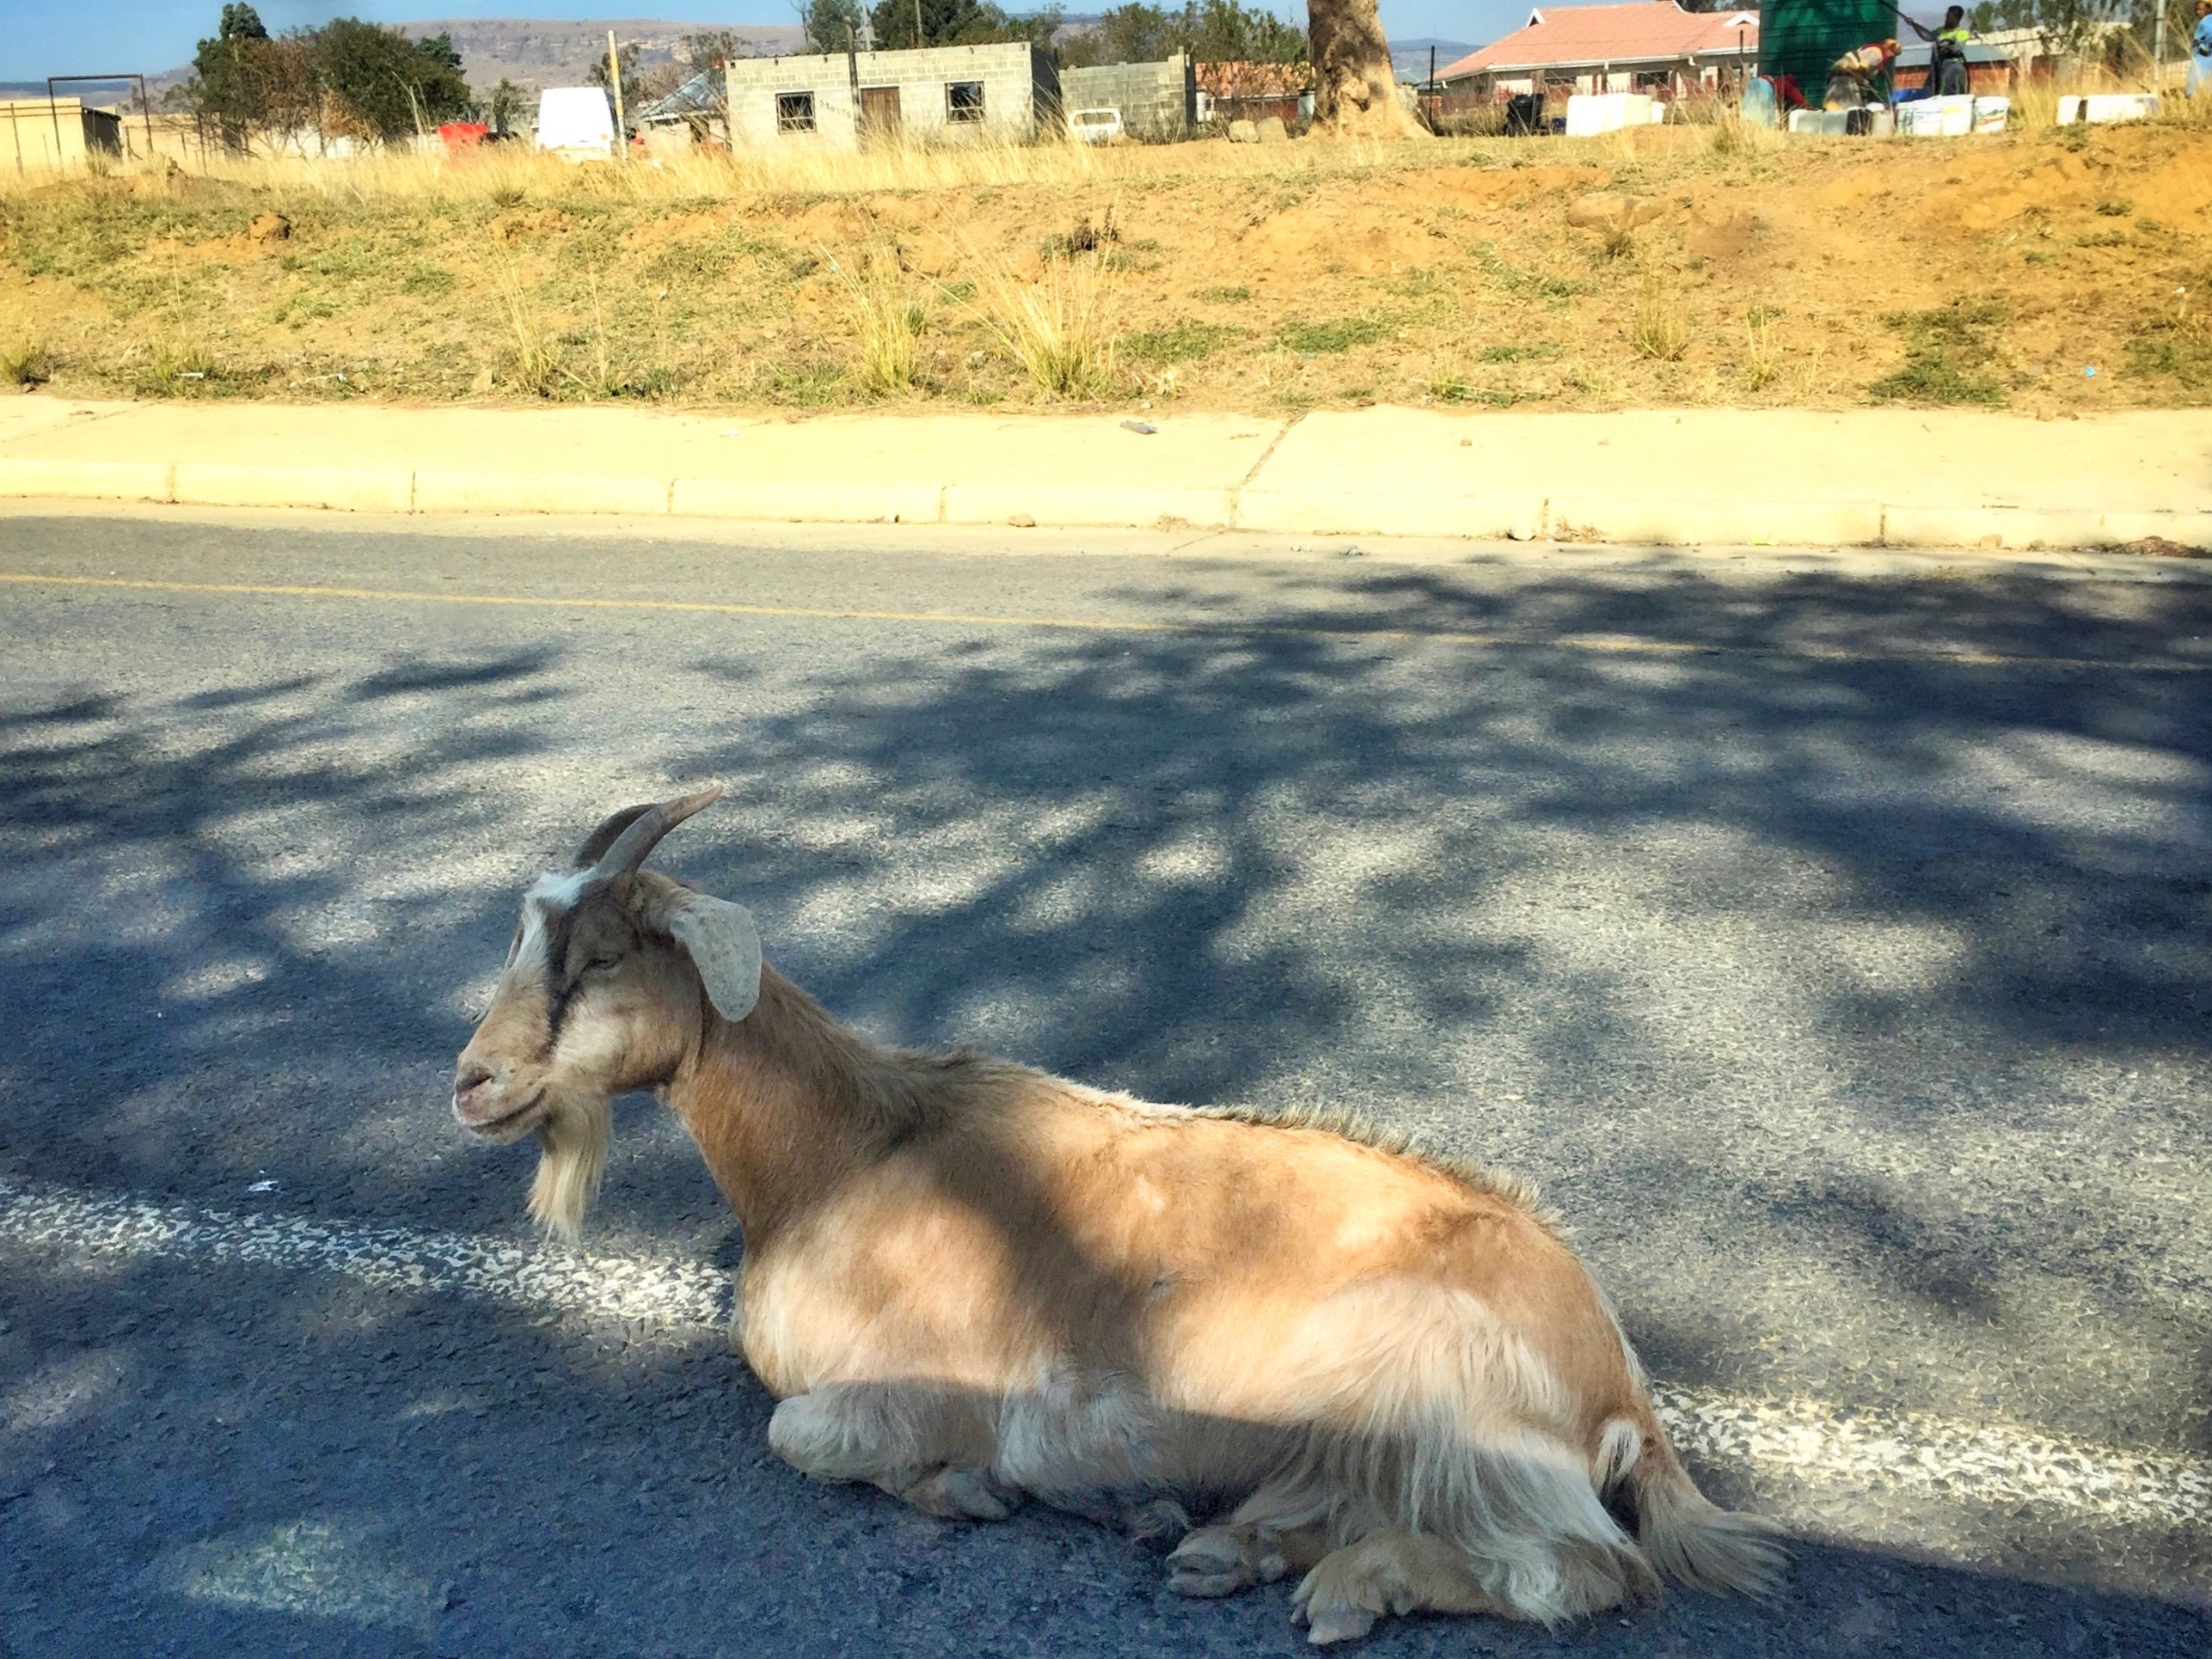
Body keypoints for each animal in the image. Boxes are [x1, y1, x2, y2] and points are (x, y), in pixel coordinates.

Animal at [452, 789, 1784, 1642]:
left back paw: (1346, 1586)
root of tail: (1617, 1379)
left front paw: (968, 1489)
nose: (471, 1082)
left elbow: (808, 1436)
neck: (841, 1153)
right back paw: (1213, 1545)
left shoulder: (946, 1391)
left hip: (1442, 1402)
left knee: (1582, 1567)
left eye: (603, 955)